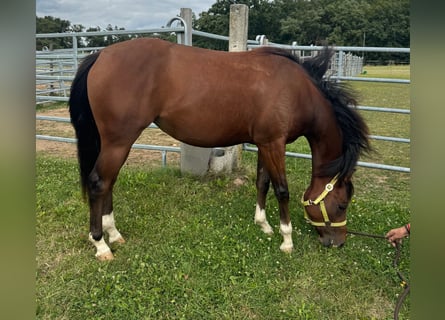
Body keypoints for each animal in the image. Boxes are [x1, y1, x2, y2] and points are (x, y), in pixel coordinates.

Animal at [68, 38, 368, 262]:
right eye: (342, 204)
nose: (338, 242)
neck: (297, 90)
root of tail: (102, 55)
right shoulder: (274, 143)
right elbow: (282, 190)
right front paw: (287, 240)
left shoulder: (264, 143)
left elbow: (262, 182)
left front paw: (263, 225)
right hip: (119, 141)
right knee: (99, 183)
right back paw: (101, 244)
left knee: (108, 183)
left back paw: (114, 234)